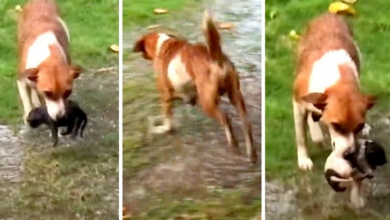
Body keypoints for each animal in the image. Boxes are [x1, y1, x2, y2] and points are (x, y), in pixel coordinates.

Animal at [133, 10, 258, 163]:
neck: (162, 44)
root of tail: (215, 57)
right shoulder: (186, 94)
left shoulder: (166, 94)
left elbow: (167, 119)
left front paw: (161, 128)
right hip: (235, 95)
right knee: (246, 125)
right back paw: (251, 154)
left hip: (207, 102)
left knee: (226, 119)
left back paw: (233, 144)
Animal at [292, 13, 374, 206]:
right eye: (336, 125)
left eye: (358, 126)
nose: (349, 154)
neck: (337, 82)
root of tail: (328, 14)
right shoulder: (298, 104)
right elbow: (301, 136)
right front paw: (304, 159)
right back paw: (316, 134)